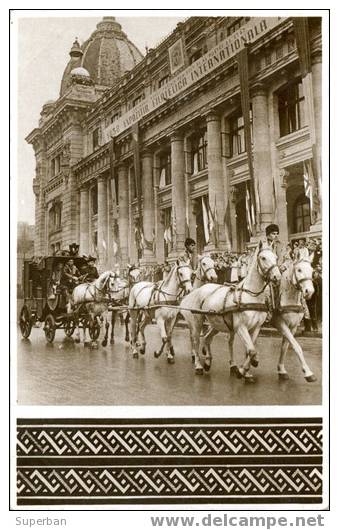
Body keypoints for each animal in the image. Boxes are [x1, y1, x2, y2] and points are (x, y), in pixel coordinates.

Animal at [181, 241, 282, 378]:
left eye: (276, 257)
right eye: (263, 257)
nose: (277, 277)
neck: (251, 296)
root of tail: (199, 289)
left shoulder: (256, 328)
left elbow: (250, 350)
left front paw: (246, 370)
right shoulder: (241, 327)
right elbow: (251, 350)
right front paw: (243, 370)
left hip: (217, 323)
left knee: (207, 338)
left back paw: (209, 361)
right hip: (197, 321)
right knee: (196, 340)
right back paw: (198, 365)